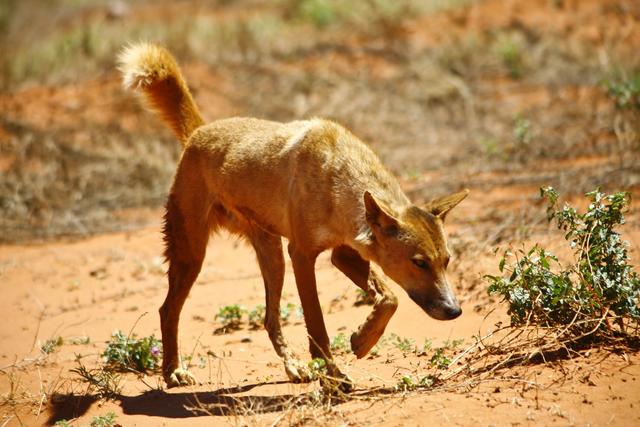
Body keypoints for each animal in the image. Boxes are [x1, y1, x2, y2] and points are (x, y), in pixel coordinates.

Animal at [117, 42, 468, 392]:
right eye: (419, 263)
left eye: (447, 261)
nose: (454, 311)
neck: (338, 175)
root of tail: (200, 131)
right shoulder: (302, 255)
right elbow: (318, 325)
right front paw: (333, 375)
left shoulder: (345, 254)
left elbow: (389, 299)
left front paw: (362, 340)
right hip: (193, 255)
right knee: (168, 310)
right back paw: (173, 371)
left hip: (272, 259)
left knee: (269, 319)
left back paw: (294, 367)